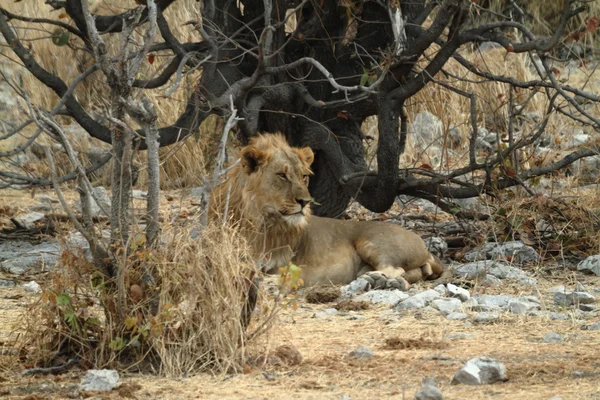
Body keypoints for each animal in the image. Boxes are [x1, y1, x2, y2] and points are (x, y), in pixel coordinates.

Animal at [209, 133, 442, 290]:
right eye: (282, 176)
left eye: (303, 176)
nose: (305, 202)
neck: (261, 220)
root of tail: (424, 245)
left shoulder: (292, 264)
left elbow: (286, 275)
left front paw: (271, 282)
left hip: (373, 242)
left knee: (396, 269)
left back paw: (377, 280)